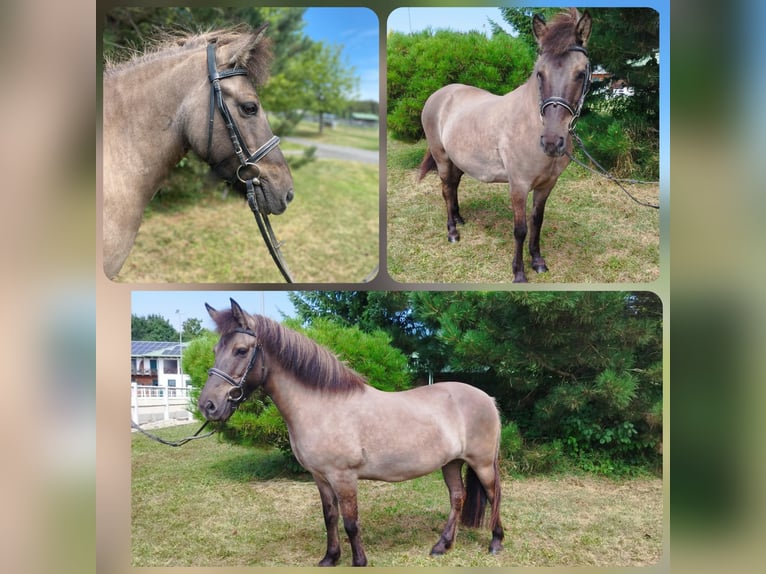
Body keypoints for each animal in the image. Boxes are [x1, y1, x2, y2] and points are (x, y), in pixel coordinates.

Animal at [201, 302, 508, 568]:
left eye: (241, 350)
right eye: (216, 349)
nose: (208, 405)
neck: (321, 406)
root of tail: (488, 398)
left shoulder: (343, 477)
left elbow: (350, 522)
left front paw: (359, 561)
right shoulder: (321, 477)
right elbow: (330, 517)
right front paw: (330, 558)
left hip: (481, 463)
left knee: (494, 495)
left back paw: (495, 543)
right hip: (451, 463)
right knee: (457, 497)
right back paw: (442, 546)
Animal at [420, 10, 592, 284]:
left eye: (580, 73)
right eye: (540, 73)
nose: (552, 142)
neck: (531, 124)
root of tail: (439, 94)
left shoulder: (547, 185)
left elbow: (537, 222)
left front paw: (538, 262)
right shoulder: (518, 186)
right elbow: (520, 229)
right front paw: (519, 273)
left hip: (458, 160)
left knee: (454, 186)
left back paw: (459, 218)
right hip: (442, 158)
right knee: (446, 190)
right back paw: (453, 232)